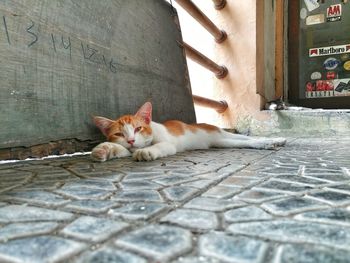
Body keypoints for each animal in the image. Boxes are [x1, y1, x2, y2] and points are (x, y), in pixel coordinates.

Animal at [91, 101, 286, 162]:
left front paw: (146, 151)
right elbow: (122, 150)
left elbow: (159, 146)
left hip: (221, 135)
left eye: (138, 128)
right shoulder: (127, 147)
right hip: (221, 142)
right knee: (242, 142)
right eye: (119, 134)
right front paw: (104, 150)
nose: (131, 140)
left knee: (250, 140)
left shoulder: (168, 144)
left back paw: (271, 141)